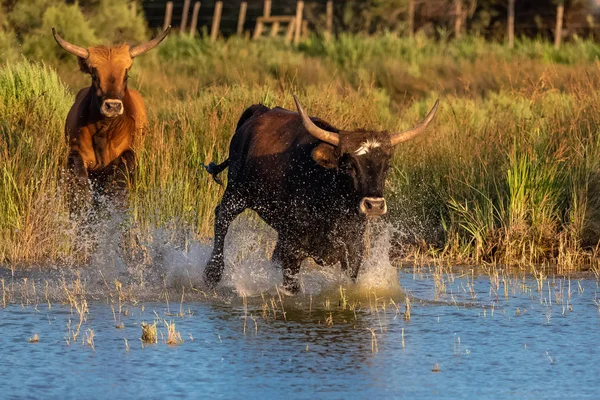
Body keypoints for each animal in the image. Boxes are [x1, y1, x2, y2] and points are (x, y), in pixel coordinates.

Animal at [52, 27, 170, 206]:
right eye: (94, 76)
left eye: (126, 76)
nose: (112, 106)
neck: (104, 129)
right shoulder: (76, 153)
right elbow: (81, 180)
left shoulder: (127, 154)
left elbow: (119, 182)